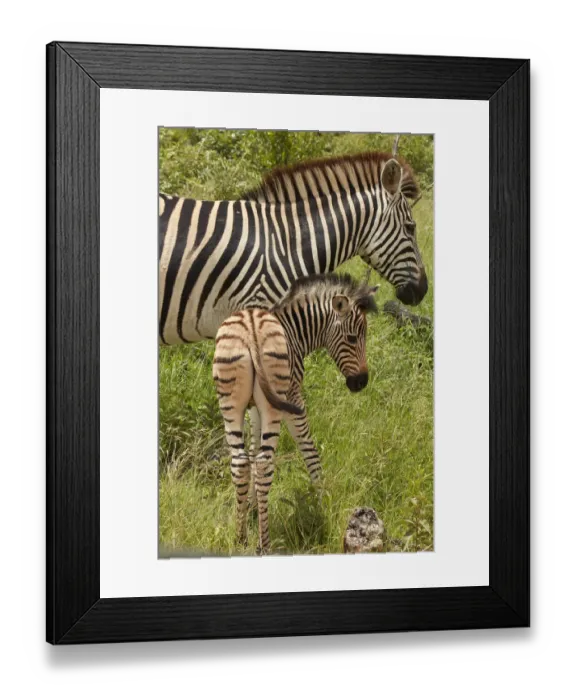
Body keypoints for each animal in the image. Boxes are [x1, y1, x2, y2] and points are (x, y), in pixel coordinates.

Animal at [212, 273, 378, 553]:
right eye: (353, 338)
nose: (361, 383)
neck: (295, 331)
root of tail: (251, 331)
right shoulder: (293, 397)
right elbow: (309, 448)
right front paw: (323, 501)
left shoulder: (254, 408)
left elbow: (253, 449)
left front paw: (253, 508)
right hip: (276, 402)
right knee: (265, 463)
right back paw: (264, 544)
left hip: (230, 404)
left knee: (241, 462)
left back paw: (240, 537)